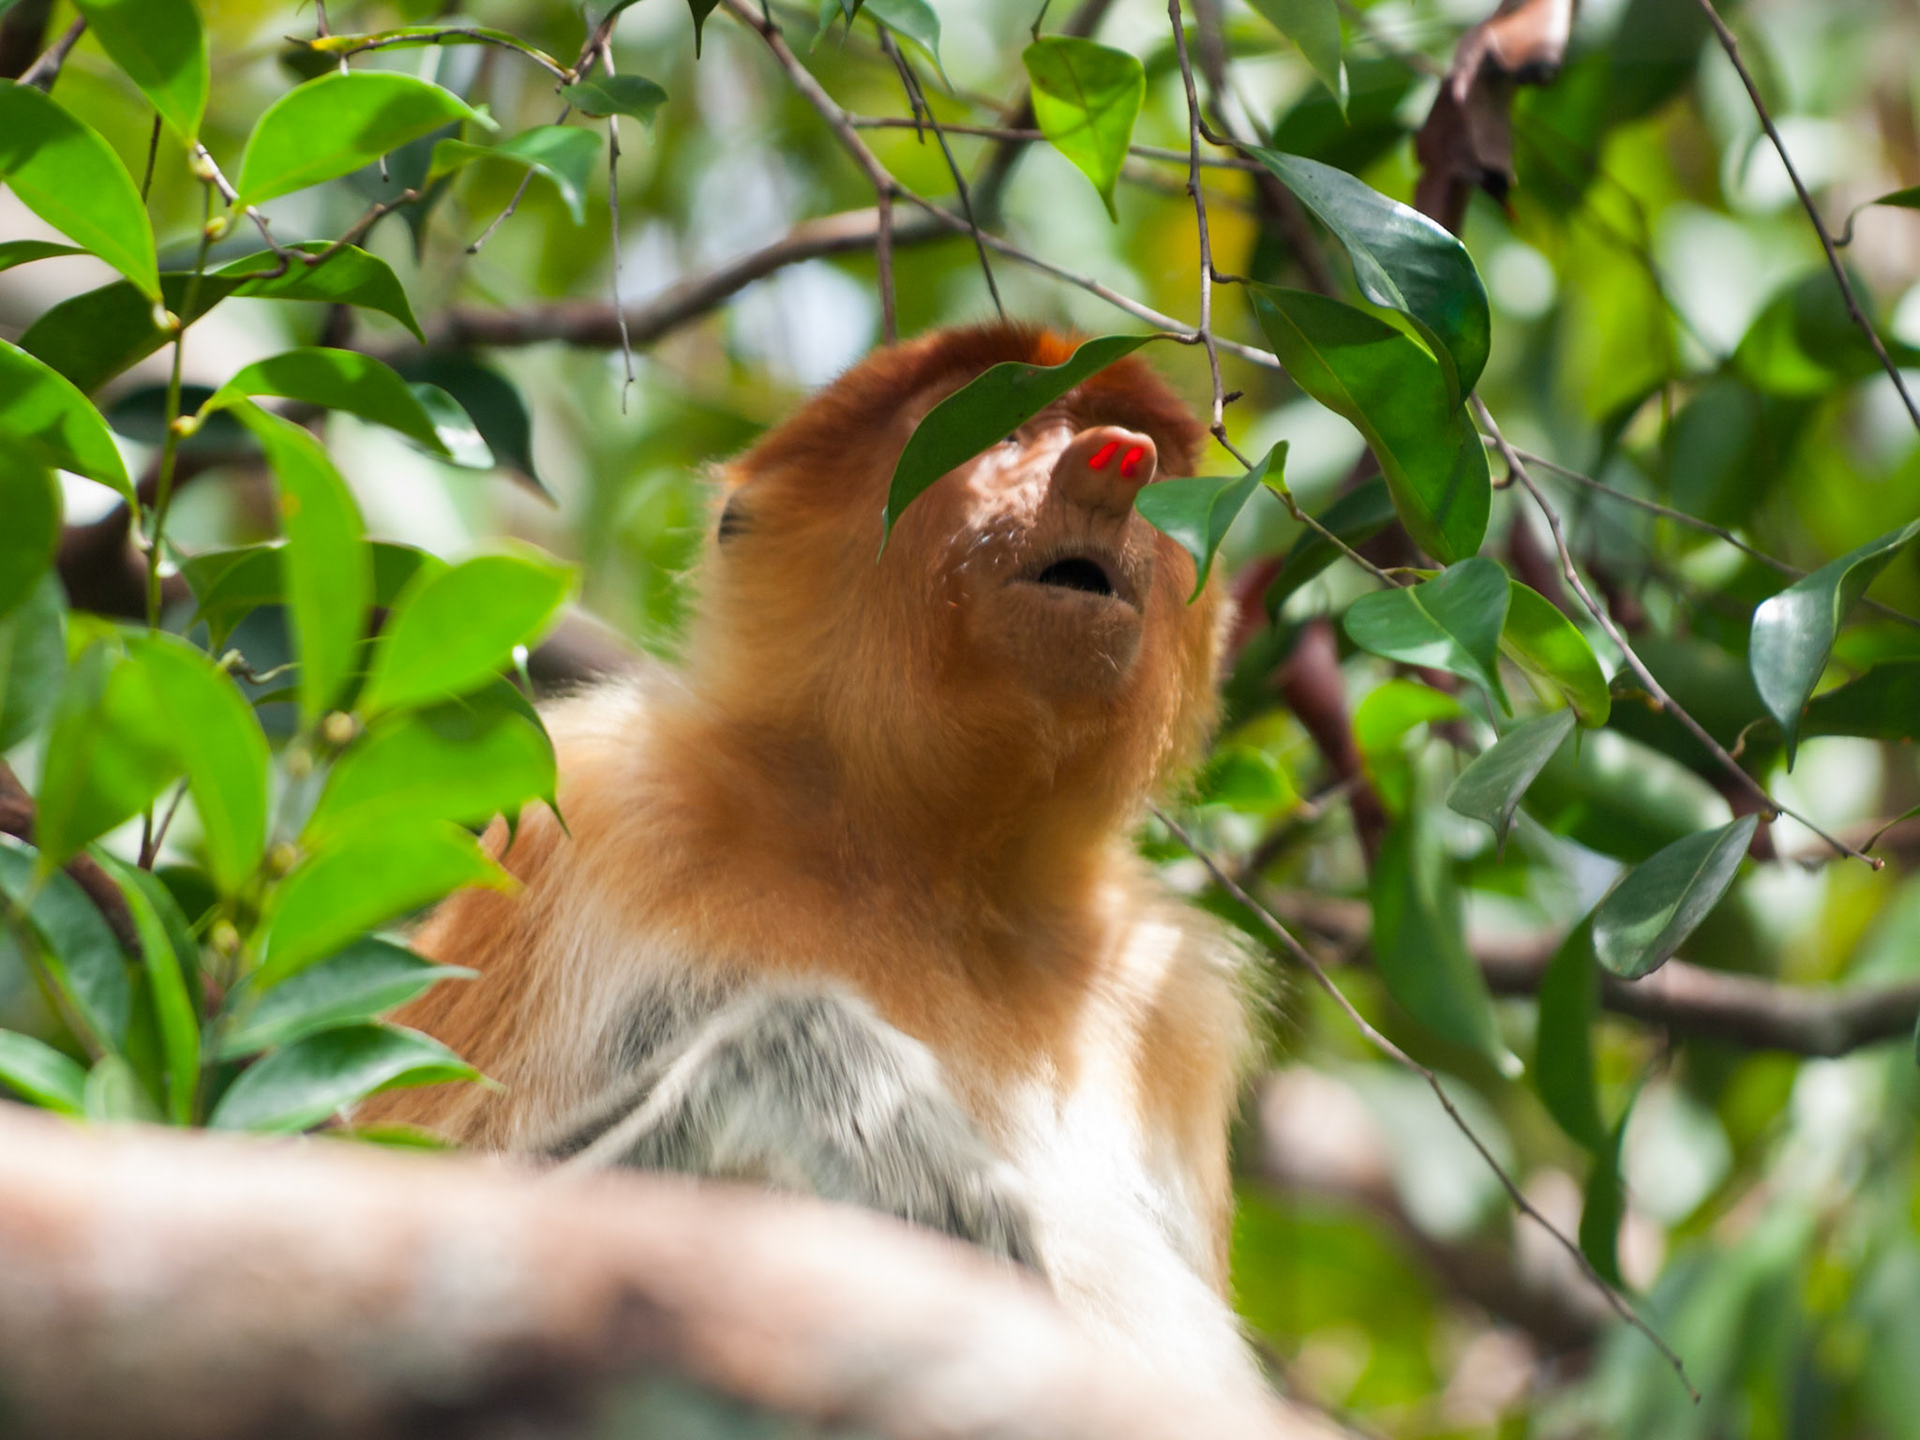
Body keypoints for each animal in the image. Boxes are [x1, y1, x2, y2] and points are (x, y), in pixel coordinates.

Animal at [360, 323, 1274, 1401]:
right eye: (1000, 429)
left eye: (1157, 464)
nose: (1115, 464)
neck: (928, 860)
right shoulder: (596, 810)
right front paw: (863, 1110)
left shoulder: (1174, 1000)